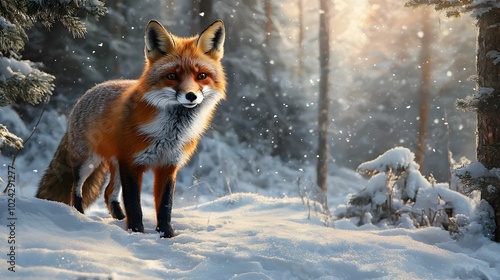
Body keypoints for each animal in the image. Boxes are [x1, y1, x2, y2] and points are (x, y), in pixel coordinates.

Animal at [36, 20, 228, 238]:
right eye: (172, 76)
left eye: (201, 76)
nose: (191, 96)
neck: (170, 132)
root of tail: (87, 93)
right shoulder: (131, 162)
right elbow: (134, 205)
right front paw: (136, 232)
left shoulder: (168, 165)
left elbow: (165, 205)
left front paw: (166, 234)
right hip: (88, 162)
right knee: (76, 190)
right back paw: (80, 216)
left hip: (114, 165)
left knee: (108, 193)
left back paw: (119, 220)